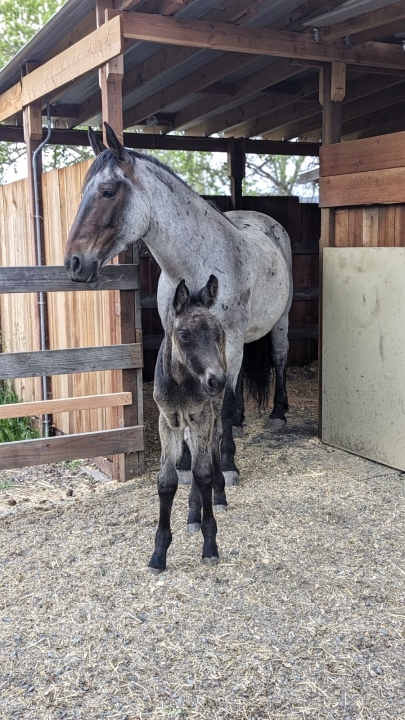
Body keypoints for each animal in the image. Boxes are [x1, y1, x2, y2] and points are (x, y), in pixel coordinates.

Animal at [63, 124, 292, 486]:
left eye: (108, 191)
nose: (73, 263)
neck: (197, 265)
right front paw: (184, 464)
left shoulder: (230, 339)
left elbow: (224, 403)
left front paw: (228, 465)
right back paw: (242, 422)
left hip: (279, 321)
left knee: (280, 359)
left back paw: (278, 414)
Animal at [150, 276, 229, 572]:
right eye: (184, 335)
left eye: (218, 333)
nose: (217, 380)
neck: (182, 385)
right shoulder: (167, 421)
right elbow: (166, 480)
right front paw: (158, 554)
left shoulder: (202, 416)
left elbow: (203, 473)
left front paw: (210, 546)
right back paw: (193, 514)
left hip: (213, 409)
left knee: (214, 441)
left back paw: (218, 497)